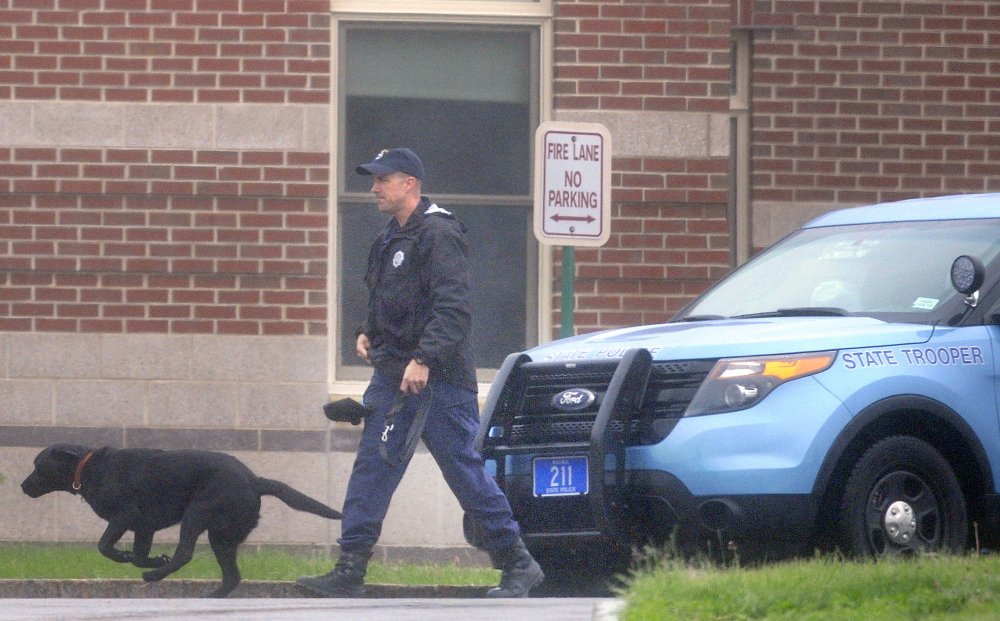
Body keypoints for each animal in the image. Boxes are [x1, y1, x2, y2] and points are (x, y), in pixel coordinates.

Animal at [21, 446, 342, 596]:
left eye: (37, 466)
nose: (22, 486)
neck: (86, 467)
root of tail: (255, 480)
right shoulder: (144, 527)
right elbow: (139, 555)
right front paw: (151, 559)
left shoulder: (126, 516)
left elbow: (104, 546)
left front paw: (128, 558)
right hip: (223, 536)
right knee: (232, 577)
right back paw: (208, 598)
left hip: (196, 514)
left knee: (186, 553)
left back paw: (155, 577)